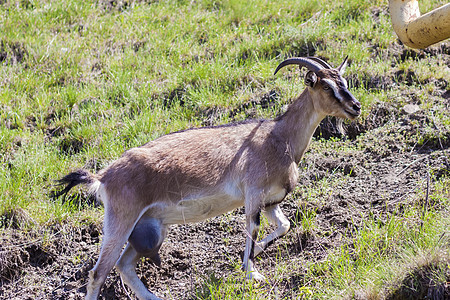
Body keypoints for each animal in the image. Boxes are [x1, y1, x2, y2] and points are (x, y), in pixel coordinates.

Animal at [56, 56, 360, 300]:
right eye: (326, 86)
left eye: (344, 81)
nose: (356, 107)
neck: (279, 136)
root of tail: (103, 176)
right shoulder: (253, 195)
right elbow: (251, 229)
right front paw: (252, 273)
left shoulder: (271, 201)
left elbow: (284, 225)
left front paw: (256, 253)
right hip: (121, 221)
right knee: (99, 272)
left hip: (151, 226)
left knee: (124, 265)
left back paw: (153, 297)